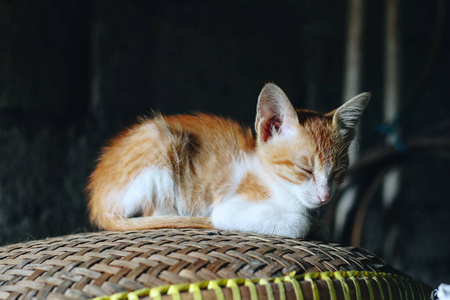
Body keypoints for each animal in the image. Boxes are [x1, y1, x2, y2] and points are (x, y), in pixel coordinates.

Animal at [87, 83, 370, 238]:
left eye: (338, 172)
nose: (324, 197)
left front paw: (319, 223)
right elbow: (298, 224)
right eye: (305, 169)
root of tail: (96, 200)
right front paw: (307, 223)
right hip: (161, 139)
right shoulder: (229, 207)